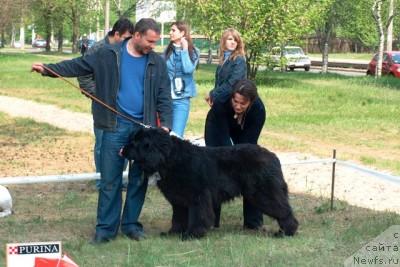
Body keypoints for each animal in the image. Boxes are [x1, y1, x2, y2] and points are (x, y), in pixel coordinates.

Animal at [120, 129, 298, 240]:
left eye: (136, 142)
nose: (122, 149)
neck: (170, 158)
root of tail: (273, 156)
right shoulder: (179, 200)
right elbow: (177, 217)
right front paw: (173, 233)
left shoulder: (198, 196)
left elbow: (199, 216)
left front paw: (192, 234)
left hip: (264, 192)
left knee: (283, 210)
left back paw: (287, 231)